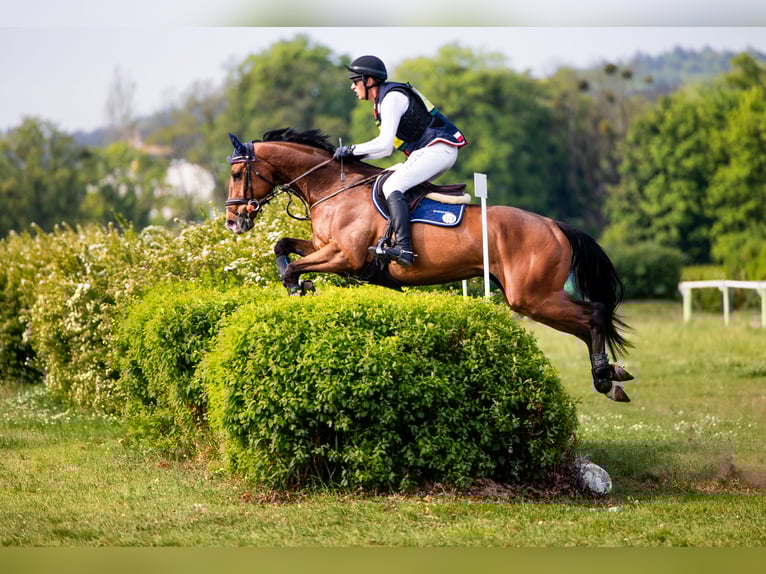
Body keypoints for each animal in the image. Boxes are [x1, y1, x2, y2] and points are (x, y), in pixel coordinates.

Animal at [224, 128, 634, 402]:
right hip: (536, 297)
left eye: (236, 174)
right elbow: (283, 247)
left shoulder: (345, 257)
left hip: (532, 296)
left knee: (594, 314)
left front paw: (298, 287)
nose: (233, 222)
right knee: (585, 324)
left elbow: (293, 267)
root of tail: (555, 225)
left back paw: (604, 375)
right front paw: (299, 287)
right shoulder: (327, 248)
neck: (332, 189)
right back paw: (609, 375)